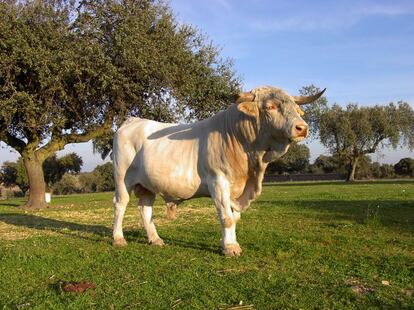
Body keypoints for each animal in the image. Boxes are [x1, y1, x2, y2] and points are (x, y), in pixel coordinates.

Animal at [112, 86, 324, 256]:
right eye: (270, 107)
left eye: (296, 109)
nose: (302, 128)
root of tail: (132, 121)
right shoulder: (218, 182)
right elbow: (226, 217)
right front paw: (231, 248)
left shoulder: (238, 190)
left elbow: (234, 217)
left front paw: (227, 244)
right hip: (122, 178)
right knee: (120, 204)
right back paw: (118, 238)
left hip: (147, 185)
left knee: (145, 208)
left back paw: (155, 239)